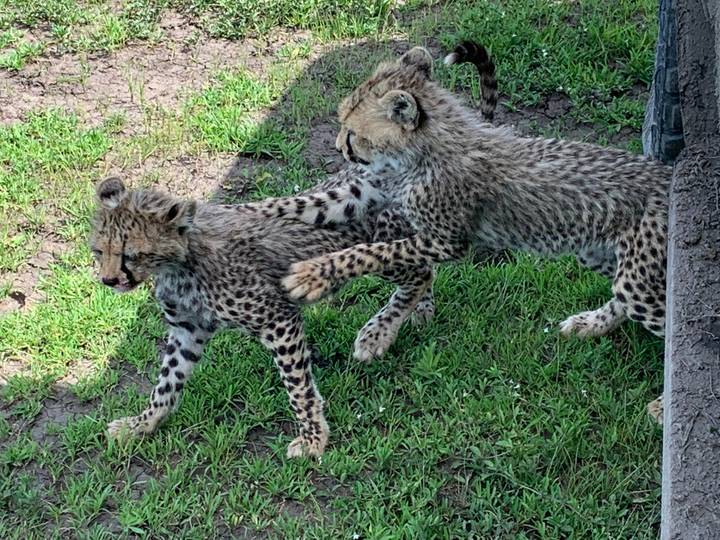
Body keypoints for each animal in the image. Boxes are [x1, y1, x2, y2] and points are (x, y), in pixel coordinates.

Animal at [241, 42, 670, 422]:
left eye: (351, 131)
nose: (337, 147)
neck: (427, 147)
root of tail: (668, 176)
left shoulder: (446, 241)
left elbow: (368, 253)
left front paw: (313, 275)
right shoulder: (368, 191)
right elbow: (303, 204)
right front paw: (238, 212)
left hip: (639, 277)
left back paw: (664, 406)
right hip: (599, 252)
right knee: (622, 298)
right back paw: (590, 324)